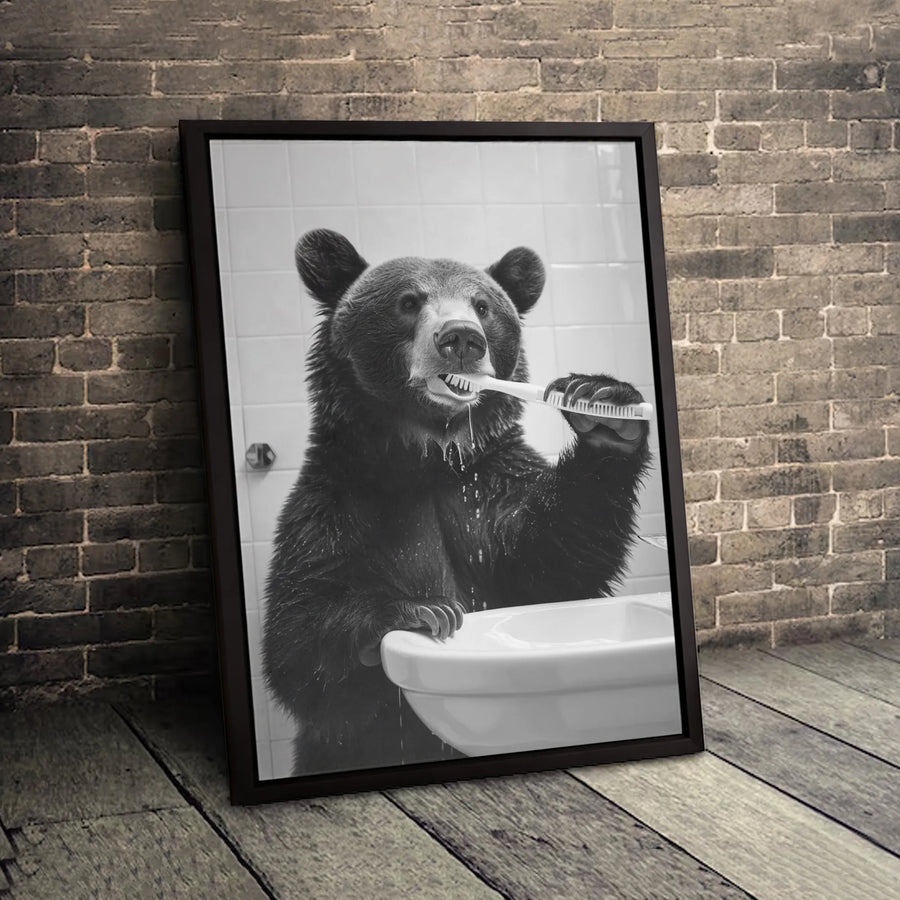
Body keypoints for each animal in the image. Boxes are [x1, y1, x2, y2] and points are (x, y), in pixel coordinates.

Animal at [262, 228, 651, 777]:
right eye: (409, 301)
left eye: (483, 305)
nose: (462, 338)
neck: (428, 458)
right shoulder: (337, 507)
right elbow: (297, 640)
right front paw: (421, 610)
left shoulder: (488, 491)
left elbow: (555, 561)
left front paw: (604, 407)